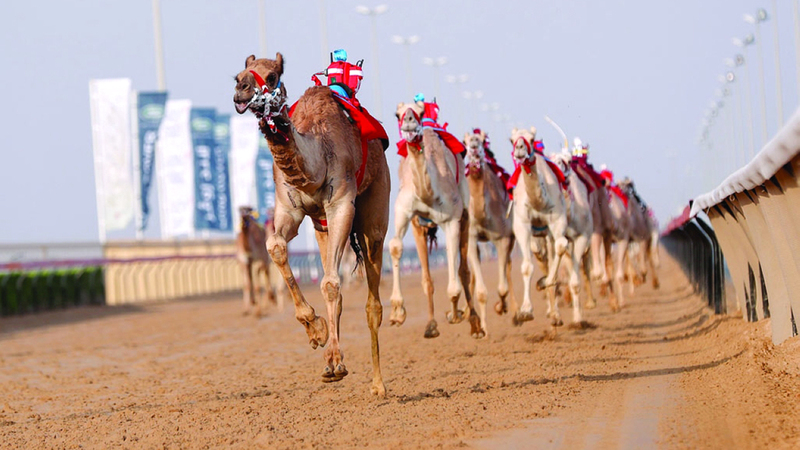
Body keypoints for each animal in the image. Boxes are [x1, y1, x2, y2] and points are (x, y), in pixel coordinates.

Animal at [231, 53, 390, 398]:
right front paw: (316, 330)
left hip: (375, 206)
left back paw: (377, 384)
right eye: (238, 75)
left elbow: (331, 283)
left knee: (371, 293)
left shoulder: (341, 205)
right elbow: (276, 246)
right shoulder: (289, 208)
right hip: (321, 227)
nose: (241, 91)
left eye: (272, 76)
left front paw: (335, 360)